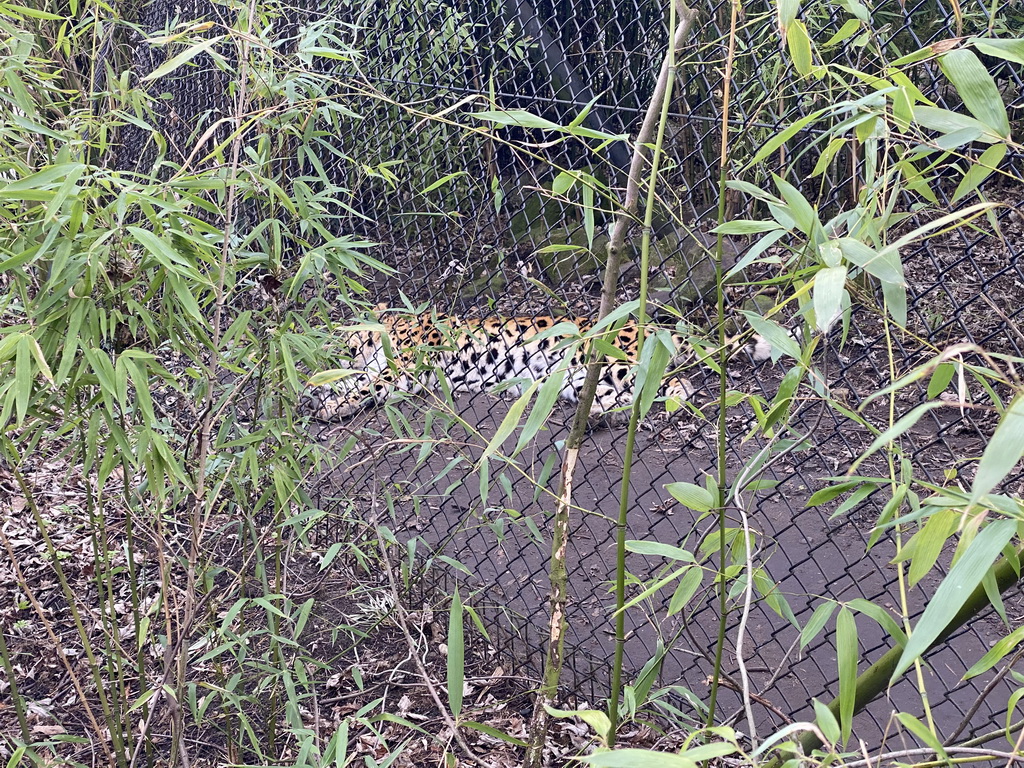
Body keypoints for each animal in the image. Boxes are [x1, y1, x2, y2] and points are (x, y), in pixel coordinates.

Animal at [299, 305, 770, 428]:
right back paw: (601, 418)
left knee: (677, 384)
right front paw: (315, 395)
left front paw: (330, 405)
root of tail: (657, 326)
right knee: (619, 397)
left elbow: (366, 386)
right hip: (577, 379)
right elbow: (355, 382)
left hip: (612, 358)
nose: (317, 360)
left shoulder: (404, 368)